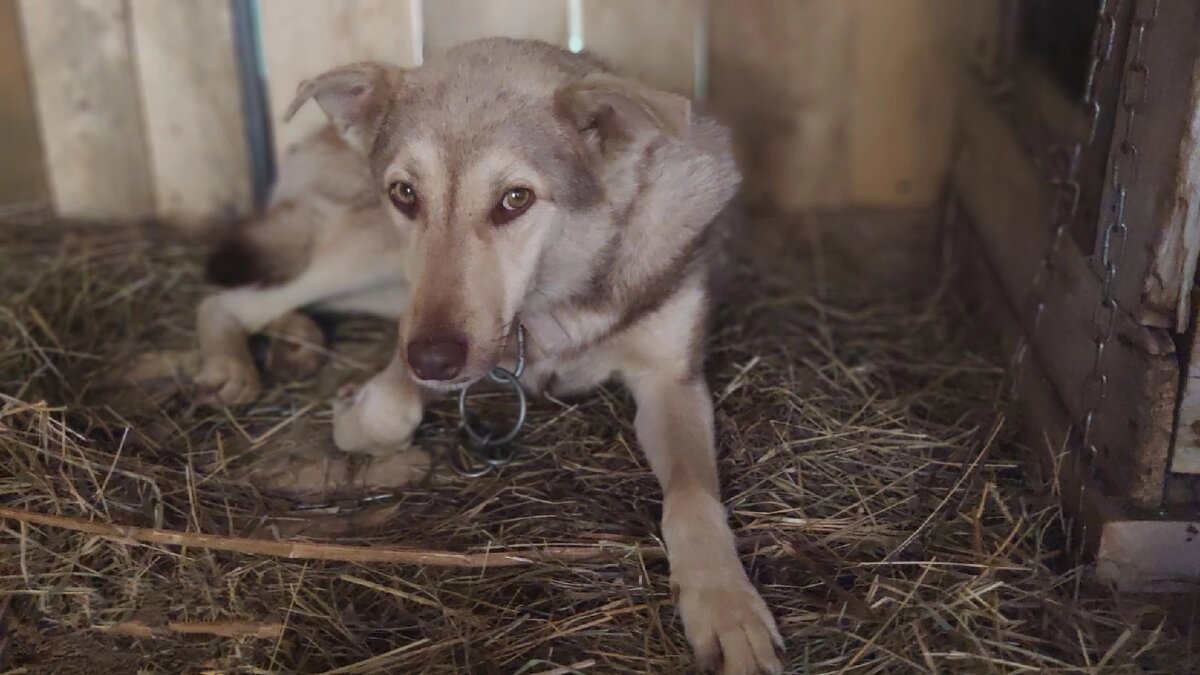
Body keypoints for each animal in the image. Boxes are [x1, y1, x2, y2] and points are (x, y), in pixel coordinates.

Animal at [195, 38, 782, 672]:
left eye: (515, 199)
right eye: (405, 192)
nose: (431, 362)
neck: (556, 294)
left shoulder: (673, 380)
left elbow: (693, 497)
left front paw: (726, 607)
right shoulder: (427, 331)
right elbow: (386, 411)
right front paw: (363, 406)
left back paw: (297, 340)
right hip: (373, 255)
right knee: (230, 299)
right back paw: (235, 361)